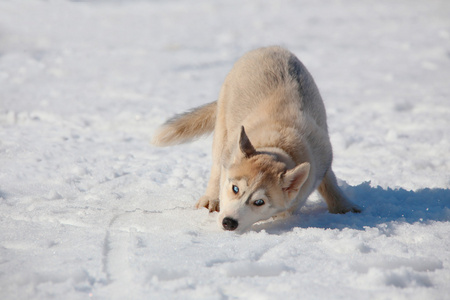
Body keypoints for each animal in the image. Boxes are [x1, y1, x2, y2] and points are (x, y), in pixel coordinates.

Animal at [153, 45, 360, 231]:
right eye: (235, 189)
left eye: (259, 202)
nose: (228, 223)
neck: (278, 144)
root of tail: (269, 47)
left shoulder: (321, 159)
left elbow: (326, 183)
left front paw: (345, 208)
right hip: (223, 127)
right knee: (216, 167)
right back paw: (210, 199)